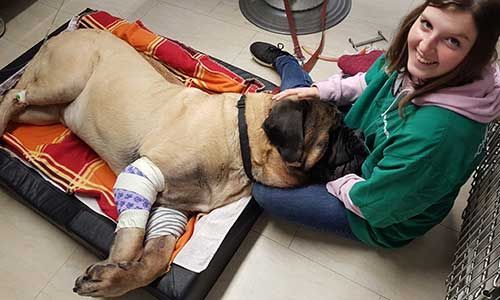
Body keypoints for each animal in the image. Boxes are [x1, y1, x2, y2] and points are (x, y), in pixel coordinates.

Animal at [0, 29, 360, 296]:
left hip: (47, 110)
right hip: (64, 81)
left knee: (14, 100)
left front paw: (119, 277)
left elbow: (156, 258)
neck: (240, 140)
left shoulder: (171, 207)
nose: (359, 138)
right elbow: (132, 239)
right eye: (333, 134)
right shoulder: (143, 171)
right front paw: (114, 266)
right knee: (10, 96)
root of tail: (58, 35)